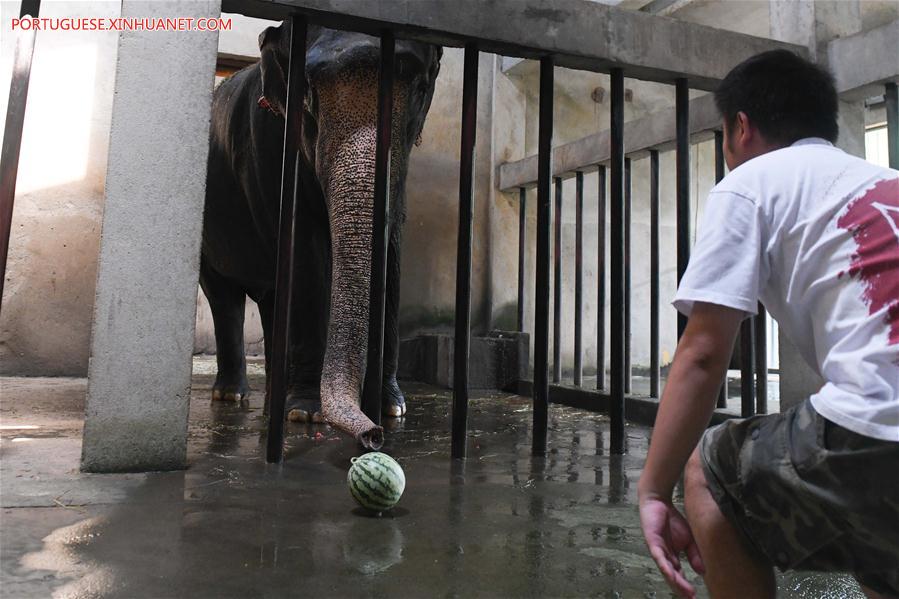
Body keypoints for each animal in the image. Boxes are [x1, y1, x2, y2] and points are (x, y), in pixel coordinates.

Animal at [202, 19, 444, 450]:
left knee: (270, 298)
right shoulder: (270, 146)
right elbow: (306, 251)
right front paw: (305, 412)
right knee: (224, 295)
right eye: (308, 94)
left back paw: (272, 398)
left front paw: (391, 408)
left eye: (419, 88)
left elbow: (391, 247)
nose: (373, 437)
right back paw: (234, 396)